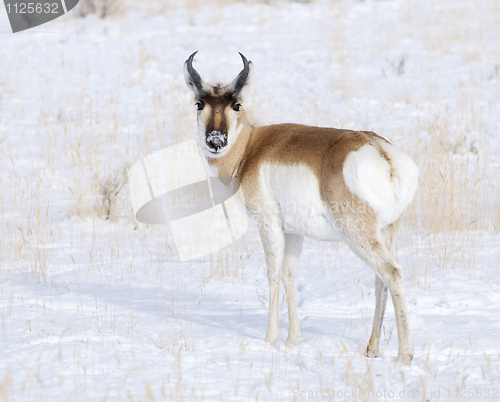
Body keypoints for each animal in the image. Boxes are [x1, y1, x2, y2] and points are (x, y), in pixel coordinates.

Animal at [184, 51, 418, 364]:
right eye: (199, 103)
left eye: (237, 104)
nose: (215, 141)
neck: (250, 148)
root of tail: (382, 153)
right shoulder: (294, 233)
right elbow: (289, 275)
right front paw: (292, 340)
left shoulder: (268, 224)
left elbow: (272, 274)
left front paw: (270, 339)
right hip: (385, 233)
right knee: (381, 279)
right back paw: (372, 349)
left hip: (358, 235)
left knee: (392, 272)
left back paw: (404, 355)